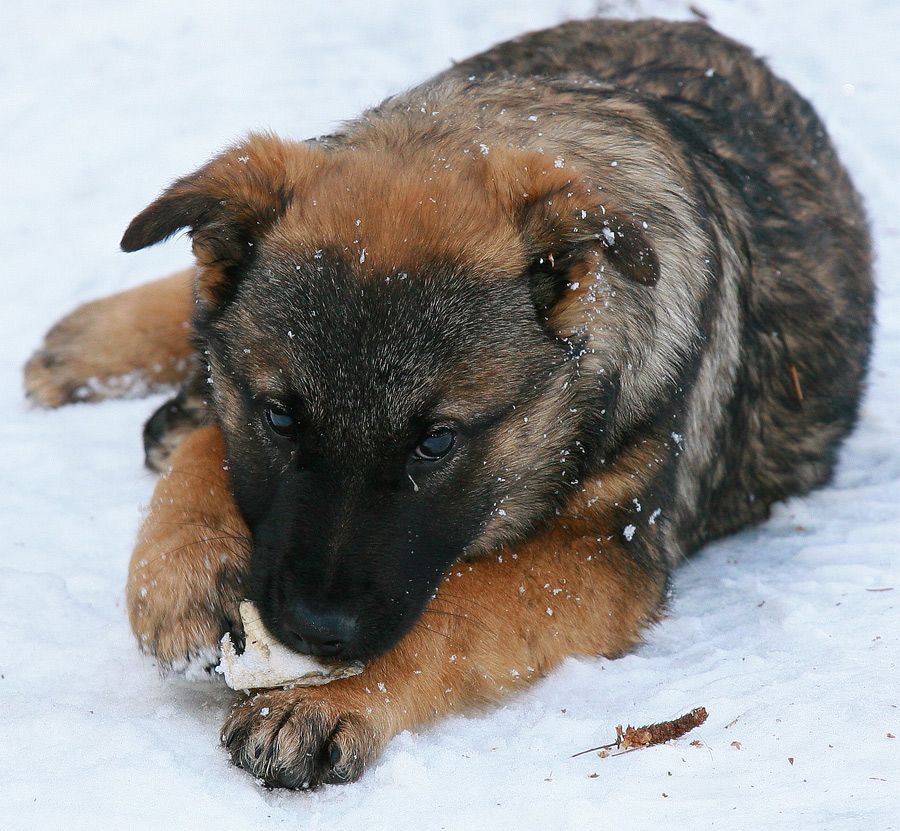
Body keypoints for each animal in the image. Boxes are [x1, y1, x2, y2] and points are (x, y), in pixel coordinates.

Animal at [26, 17, 872, 788]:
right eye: (280, 417)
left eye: (436, 442)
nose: (315, 631)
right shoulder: (235, 392)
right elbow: (215, 431)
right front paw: (183, 572)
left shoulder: (601, 551)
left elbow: (455, 608)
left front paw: (328, 697)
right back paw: (91, 341)